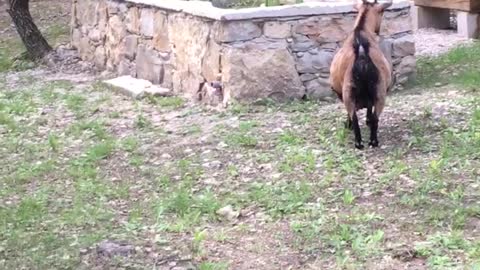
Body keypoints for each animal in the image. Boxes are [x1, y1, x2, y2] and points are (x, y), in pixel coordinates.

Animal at [330, 0, 394, 150]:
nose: (378, 30)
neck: (361, 30)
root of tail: (362, 54)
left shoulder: (339, 92)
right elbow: (369, 108)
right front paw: (367, 121)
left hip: (349, 92)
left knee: (354, 118)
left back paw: (360, 142)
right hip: (379, 92)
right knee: (374, 116)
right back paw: (372, 140)